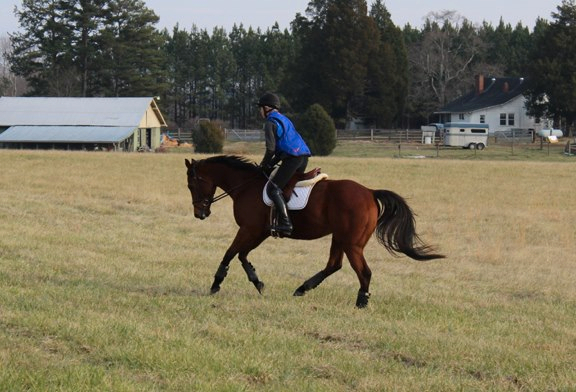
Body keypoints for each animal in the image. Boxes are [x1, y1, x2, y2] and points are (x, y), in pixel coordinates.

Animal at [186, 155, 446, 308]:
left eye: (192, 184)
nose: (200, 214)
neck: (245, 185)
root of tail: (370, 192)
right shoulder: (258, 232)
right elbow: (242, 256)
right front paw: (257, 282)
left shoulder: (249, 230)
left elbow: (230, 253)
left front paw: (216, 284)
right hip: (340, 238)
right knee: (334, 265)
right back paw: (303, 288)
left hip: (351, 243)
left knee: (363, 271)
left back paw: (361, 302)